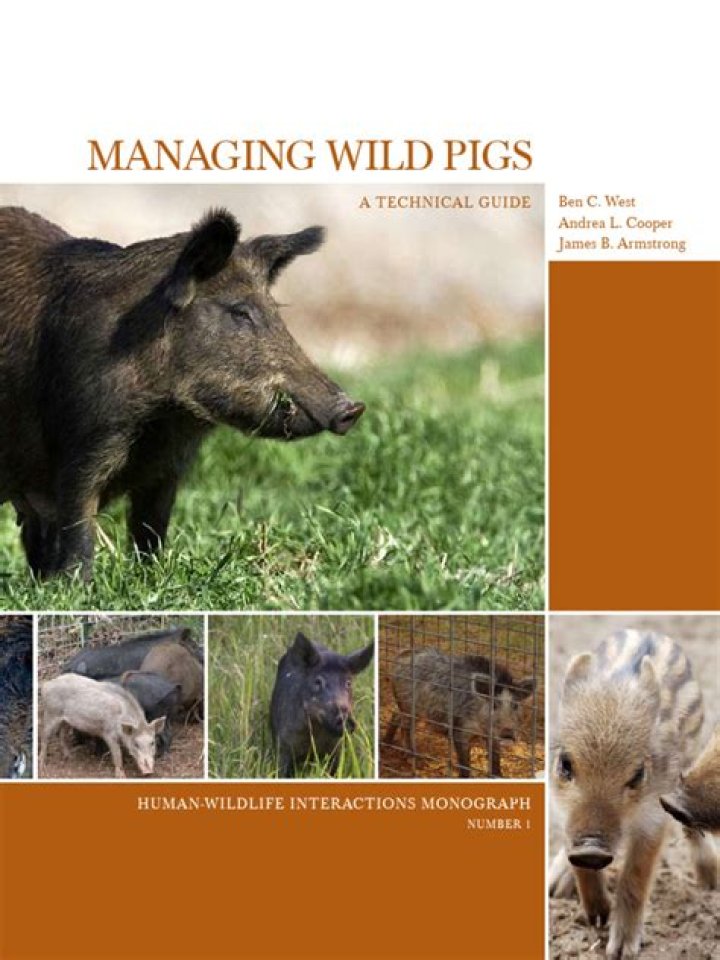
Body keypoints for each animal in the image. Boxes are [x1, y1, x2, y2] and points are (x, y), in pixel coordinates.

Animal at [0, 206, 365, 579]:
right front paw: (77, 586)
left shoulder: (168, 468)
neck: (163, 416)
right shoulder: (84, 441)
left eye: (276, 311)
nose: (352, 408)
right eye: (240, 312)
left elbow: (151, 530)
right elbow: (79, 529)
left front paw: (151, 577)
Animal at [270, 632, 374, 778]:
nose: (344, 717)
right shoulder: (283, 745)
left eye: (348, 683)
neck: (316, 731)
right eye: (318, 681)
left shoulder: (337, 749)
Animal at [385, 647, 535, 777]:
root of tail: (403, 655)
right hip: (410, 704)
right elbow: (464, 763)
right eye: (494, 704)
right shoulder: (460, 728)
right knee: (405, 725)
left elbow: (495, 760)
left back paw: (387, 743)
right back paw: (413, 757)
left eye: (515, 705)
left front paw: (499, 776)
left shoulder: (492, 735)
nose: (507, 734)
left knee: (396, 715)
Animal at [549, 630, 716, 960]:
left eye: (638, 774)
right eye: (565, 763)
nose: (591, 848)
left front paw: (621, 949)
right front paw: (597, 916)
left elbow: (636, 875)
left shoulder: (655, 814)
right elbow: (575, 856)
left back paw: (710, 880)